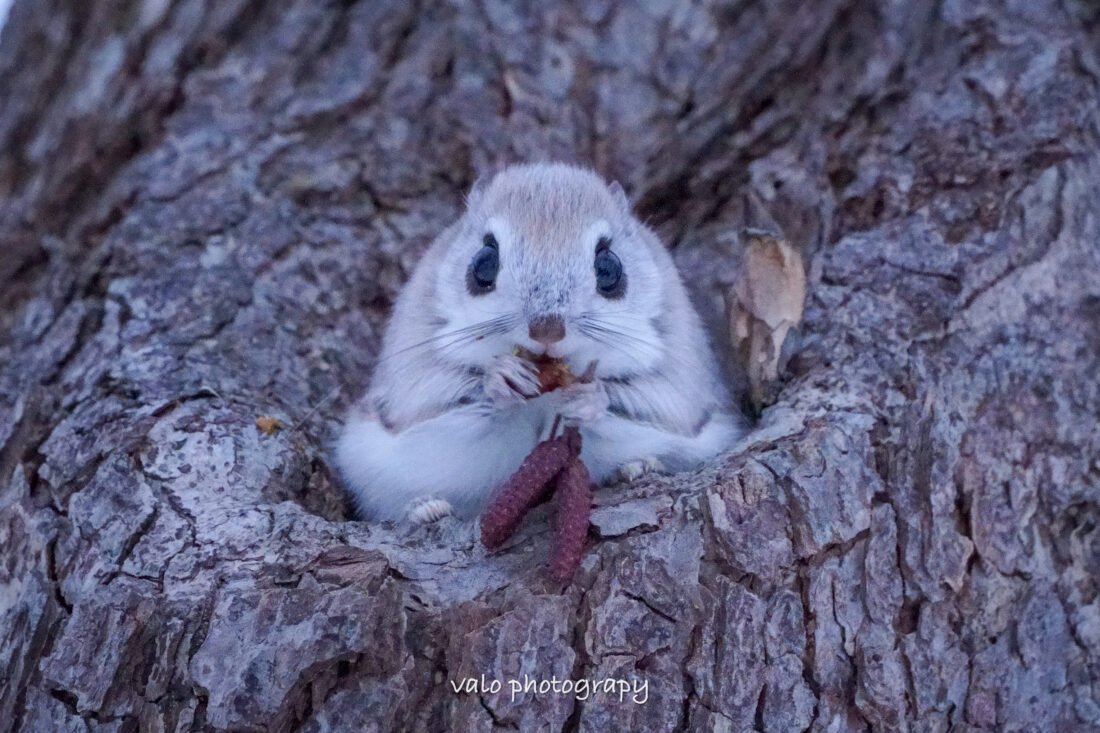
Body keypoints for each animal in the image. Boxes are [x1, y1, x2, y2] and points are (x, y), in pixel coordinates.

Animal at [334, 162, 748, 521]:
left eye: (610, 268)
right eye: (482, 262)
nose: (546, 330)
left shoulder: (676, 383)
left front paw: (590, 398)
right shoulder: (417, 383)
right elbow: (449, 401)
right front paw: (500, 379)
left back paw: (638, 467)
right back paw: (425, 509)